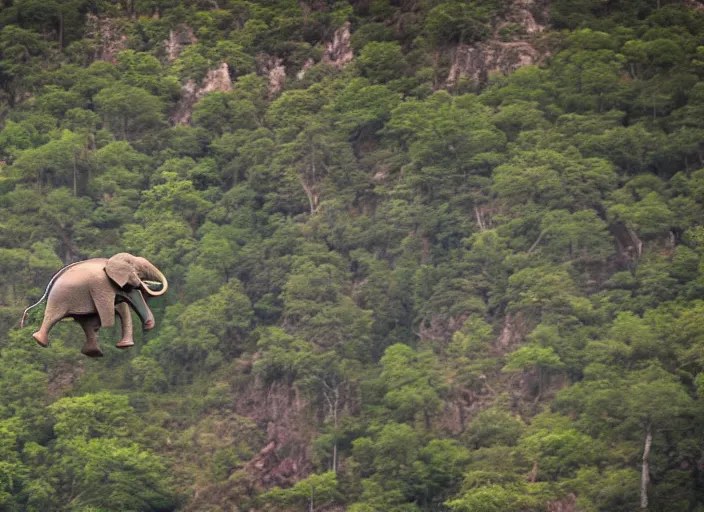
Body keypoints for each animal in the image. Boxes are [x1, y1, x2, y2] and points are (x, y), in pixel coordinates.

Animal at [20, 252, 168, 356]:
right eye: (141, 269)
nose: (146, 328)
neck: (111, 261)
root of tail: (50, 285)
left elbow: (125, 302)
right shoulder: (102, 286)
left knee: (86, 323)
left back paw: (93, 353)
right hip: (60, 298)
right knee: (54, 316)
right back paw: (39, 341)